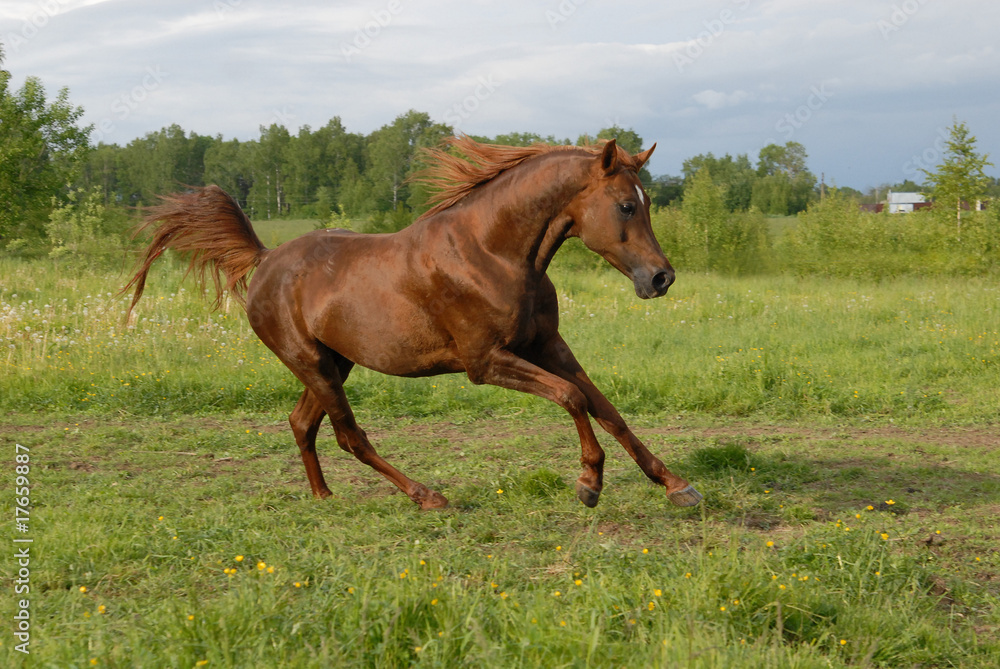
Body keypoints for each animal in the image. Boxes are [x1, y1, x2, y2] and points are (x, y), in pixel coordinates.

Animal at [124, 136, 702, 510]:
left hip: (335, 362)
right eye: (626, 205)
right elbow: (573, 398)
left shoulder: (548, 346)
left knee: (302, 423)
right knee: (350, 436)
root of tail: (265, 261)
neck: (492, 252)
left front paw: (676, 485)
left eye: (647, 201)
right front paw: (589, 483)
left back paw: (324, 497)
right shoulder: (486, 362)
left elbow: (607, 409)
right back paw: (428, 496)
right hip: (312, 363)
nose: (661, 278)